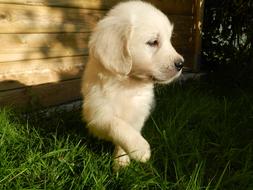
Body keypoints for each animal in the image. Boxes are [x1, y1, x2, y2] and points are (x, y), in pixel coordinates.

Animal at [82, 0, 183, 169]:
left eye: (169, 40)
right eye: (153, 42)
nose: (181, 64)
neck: (128, 84)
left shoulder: (138, 114)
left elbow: (128, 131)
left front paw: (121, 160)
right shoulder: (97, 113)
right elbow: (116, 123)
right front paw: (139, 148)